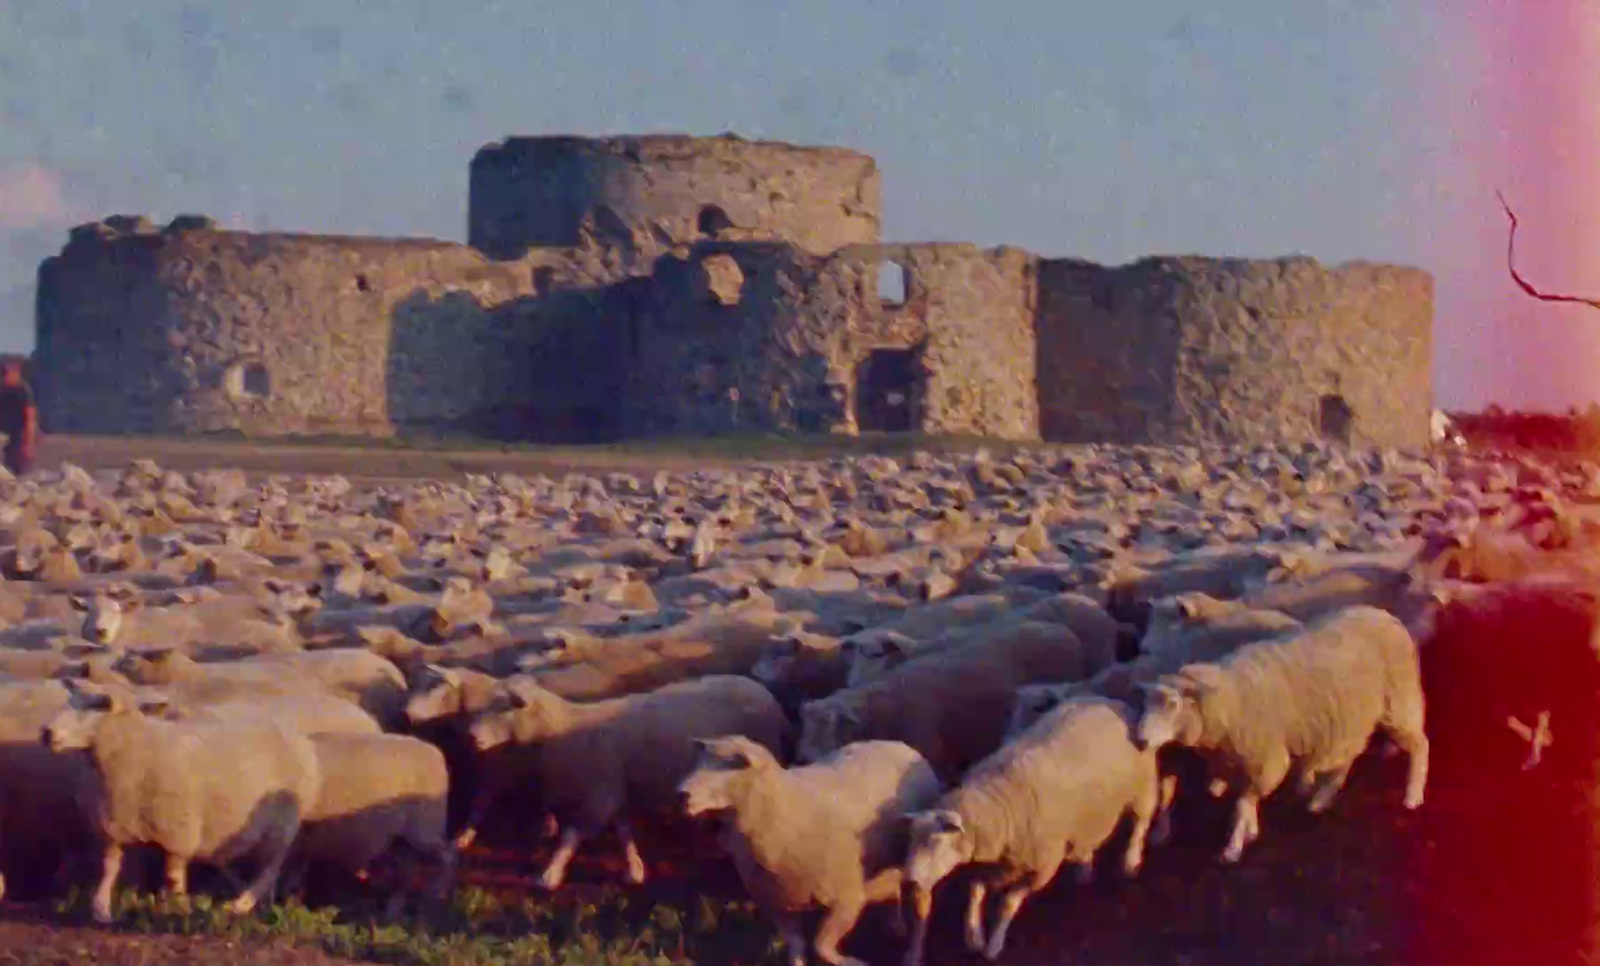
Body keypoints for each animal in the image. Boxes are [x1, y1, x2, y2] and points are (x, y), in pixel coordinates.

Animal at [43, 687, 321, 921]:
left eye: (100, 705)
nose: (47, 732)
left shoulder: (177, 833)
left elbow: (173, 876)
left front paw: (177, 910)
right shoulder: (113, 826)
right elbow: (109, 867)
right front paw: (101, 909)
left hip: (283, 824)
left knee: (270, 868)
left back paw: (240, 905)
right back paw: (261, 906)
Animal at [464, 671, 787, 889]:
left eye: (502, 706)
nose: (471, 736)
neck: (563, 730)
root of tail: (763, 690)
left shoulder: (600, 792)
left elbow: (572, 834)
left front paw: (549, 875)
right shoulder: (614, 789)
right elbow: (623, 831)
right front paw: (635, 869)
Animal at [672, 735, 940, 965]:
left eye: (733, 765)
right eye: (698, 761)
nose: (682, 794)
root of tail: (902, 745)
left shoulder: (848, 900)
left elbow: (821, 946)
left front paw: (854, 962)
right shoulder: (778, 904)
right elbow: (797, 948)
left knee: (922, 907)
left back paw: (913, 954)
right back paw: (894, 924)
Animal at [902, 697, 1164, 959]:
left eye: (936, 842)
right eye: (911, 838)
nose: (910, 880)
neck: (998, 806)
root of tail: (1113, 702)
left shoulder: (1042, 868)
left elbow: (1008, 903)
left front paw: (993, 945)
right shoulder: (985, 866)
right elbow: (975, 894)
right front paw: (974, 936)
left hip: (1143, 786)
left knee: (1141, 822)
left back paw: (1130, 861)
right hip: (1092, 813)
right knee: (1088, 837)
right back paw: (1084, 867)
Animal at [1132, 607, 1433, 863]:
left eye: (1173, 705)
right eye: (1146, 704)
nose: (1141, 740)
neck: (1231, 698)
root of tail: (1385, 615)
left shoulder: (1267, 758)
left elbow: (1243, 802)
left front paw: (1233, 847)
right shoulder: (1242, 762)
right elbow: (1247, 800)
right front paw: (1250, 831)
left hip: (1398, 701)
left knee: (1420, 744)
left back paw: (1413, 795)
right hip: (1350, 716)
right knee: (1348, 757)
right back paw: (1321, 800)